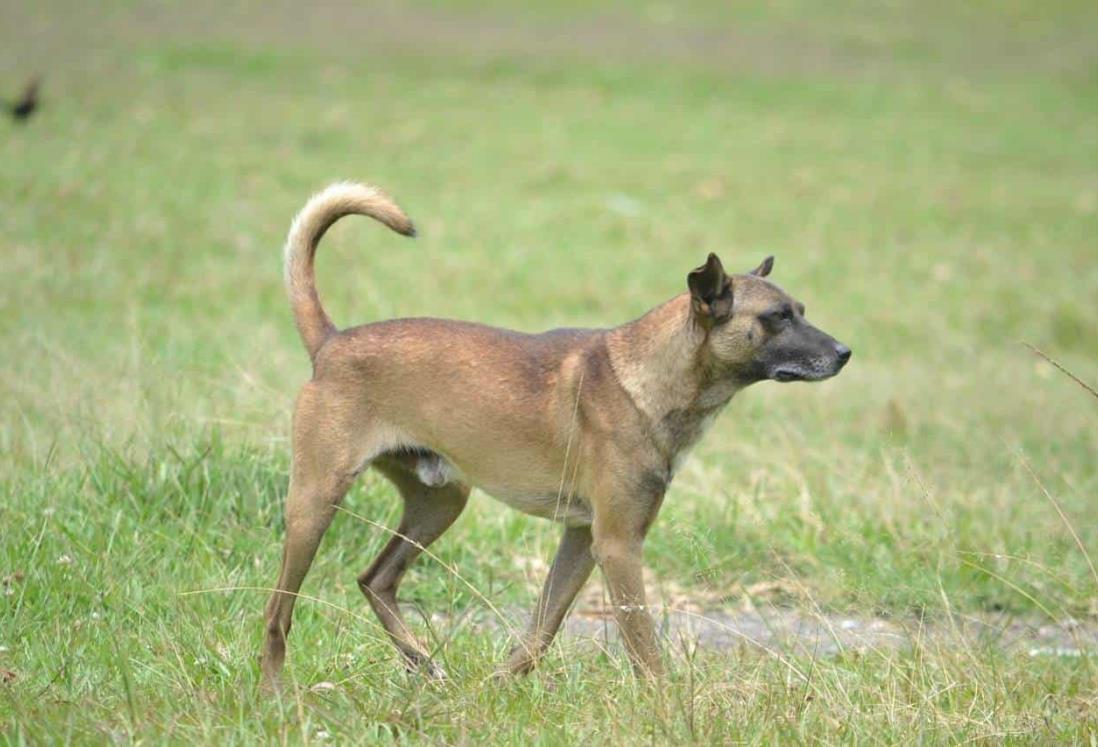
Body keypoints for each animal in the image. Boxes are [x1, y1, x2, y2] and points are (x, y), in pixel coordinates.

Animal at [261, 183, 852, 685]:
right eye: (777, 317)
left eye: (800, 311)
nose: (845, 353)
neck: (647, 376)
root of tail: (332, 343)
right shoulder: (617, 545)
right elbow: (644, 649)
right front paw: (665, 710)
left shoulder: (582, 539)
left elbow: (541, 629)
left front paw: (497, 688)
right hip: (316, 502)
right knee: (277, 613)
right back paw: (276, 695)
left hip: (441, 500)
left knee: (376, 579)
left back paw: (424, 666)